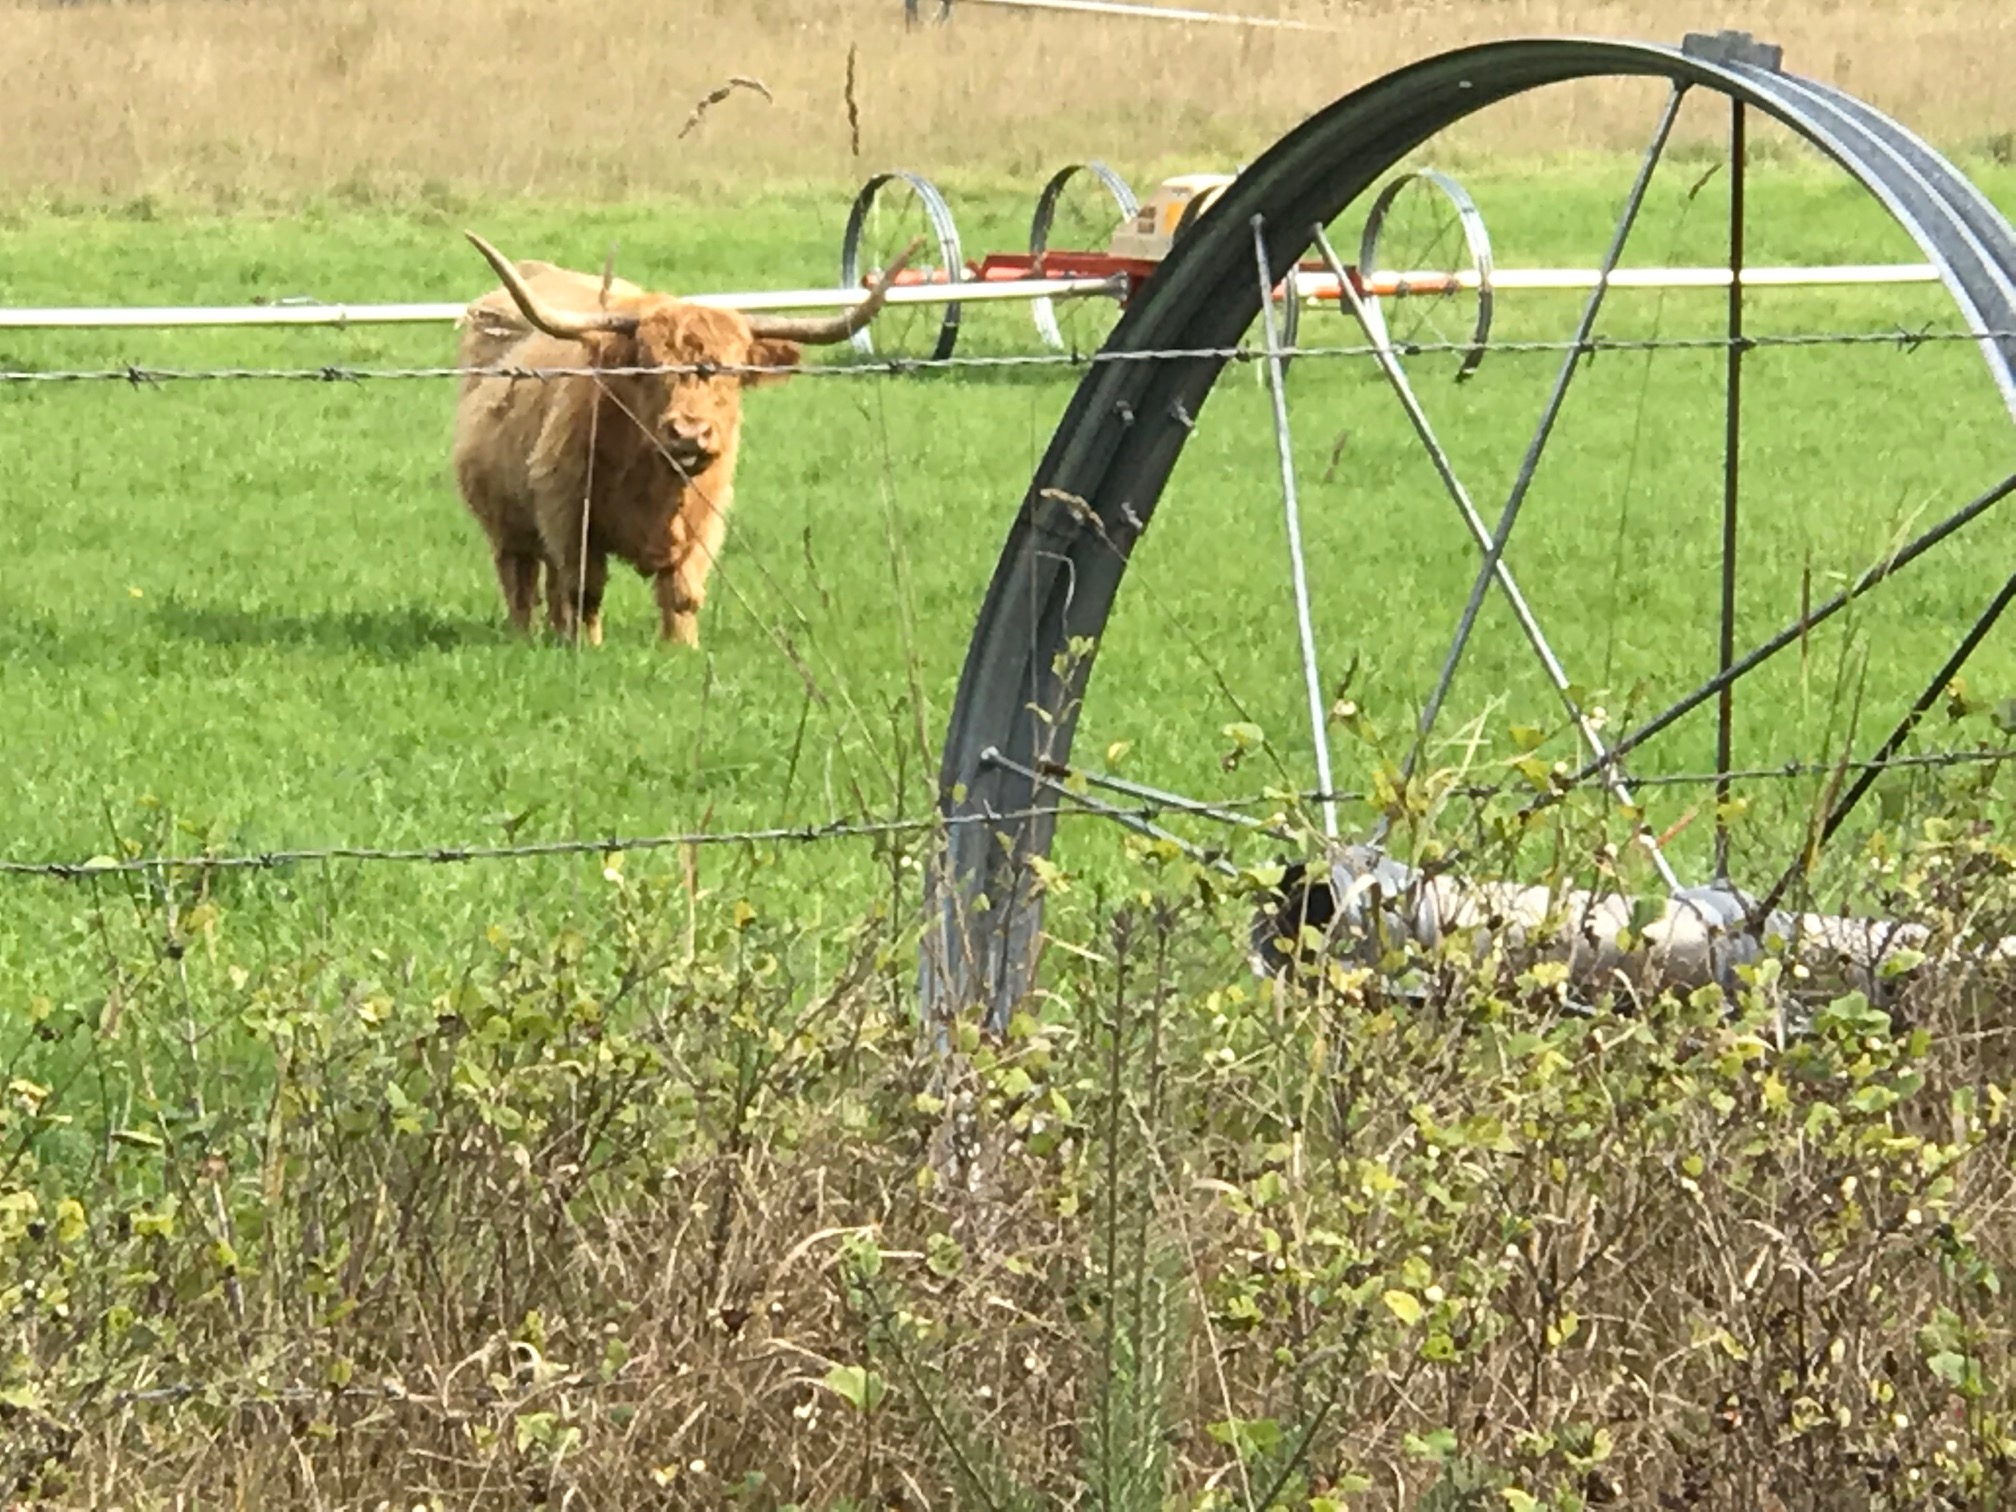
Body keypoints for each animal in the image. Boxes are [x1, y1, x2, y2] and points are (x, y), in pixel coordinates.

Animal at [453, 233, 919, 649]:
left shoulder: (706, 518)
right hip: (505, 522)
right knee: (521, 581)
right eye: (646, 365)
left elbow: (682, 593)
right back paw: (524, 636)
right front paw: (586, 647)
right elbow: (585, 590)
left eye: (733, 369)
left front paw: (682, 648)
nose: (690, 433)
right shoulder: (567, 512)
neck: (654, 484)